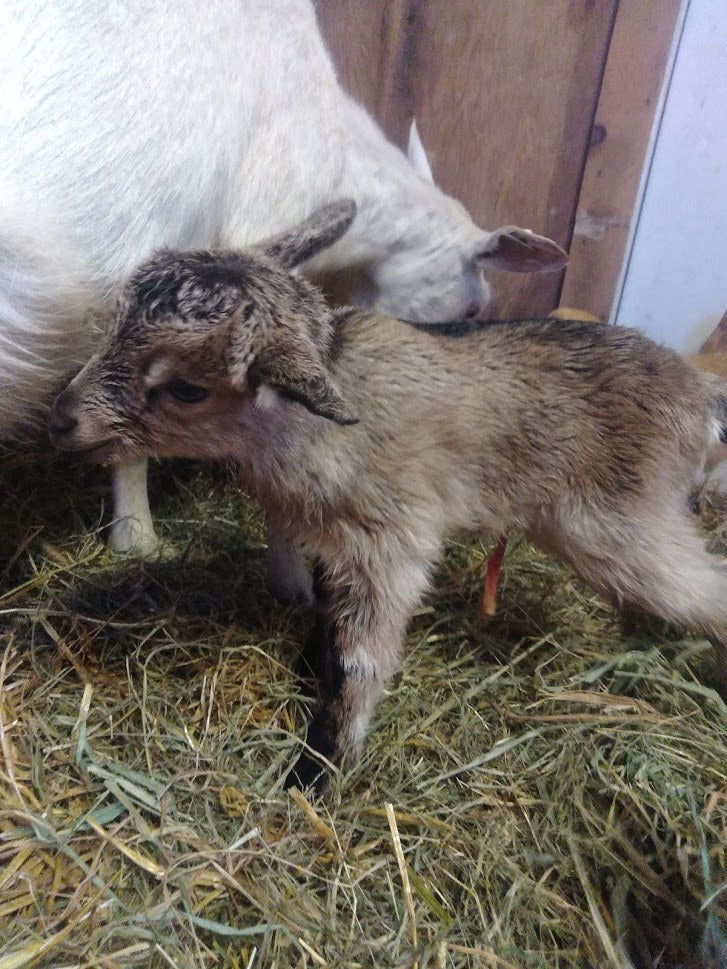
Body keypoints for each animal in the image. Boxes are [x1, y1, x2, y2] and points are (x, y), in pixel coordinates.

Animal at [51, 201, 727, 793]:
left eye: (187, 388)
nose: (64, 418)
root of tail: (700, 396)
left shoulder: (391, 543)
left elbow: (362, 660)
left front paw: (318, 773)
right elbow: (327, 615)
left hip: (620, 525)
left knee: (706, 589)